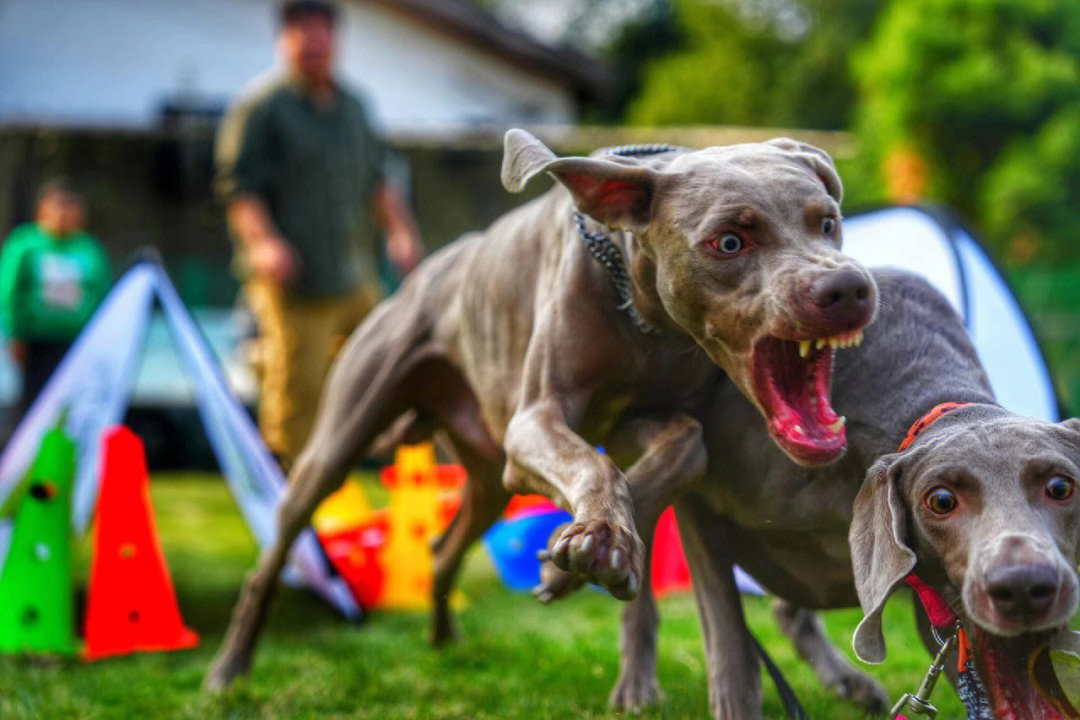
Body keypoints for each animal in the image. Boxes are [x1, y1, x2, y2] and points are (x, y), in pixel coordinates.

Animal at [204, 129, 876, 690]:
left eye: (828, 223)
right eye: (730, 241)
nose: (847, 287)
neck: (641, 311)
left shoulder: (638, 421)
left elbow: (682, 448)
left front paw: (581, 558)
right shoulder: (536, 422)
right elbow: (596, 467)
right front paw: (597, 539)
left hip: (485, 477)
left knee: (445, 549)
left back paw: (445, 640)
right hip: (336, 447)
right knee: (273, 559)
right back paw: (228, 669)